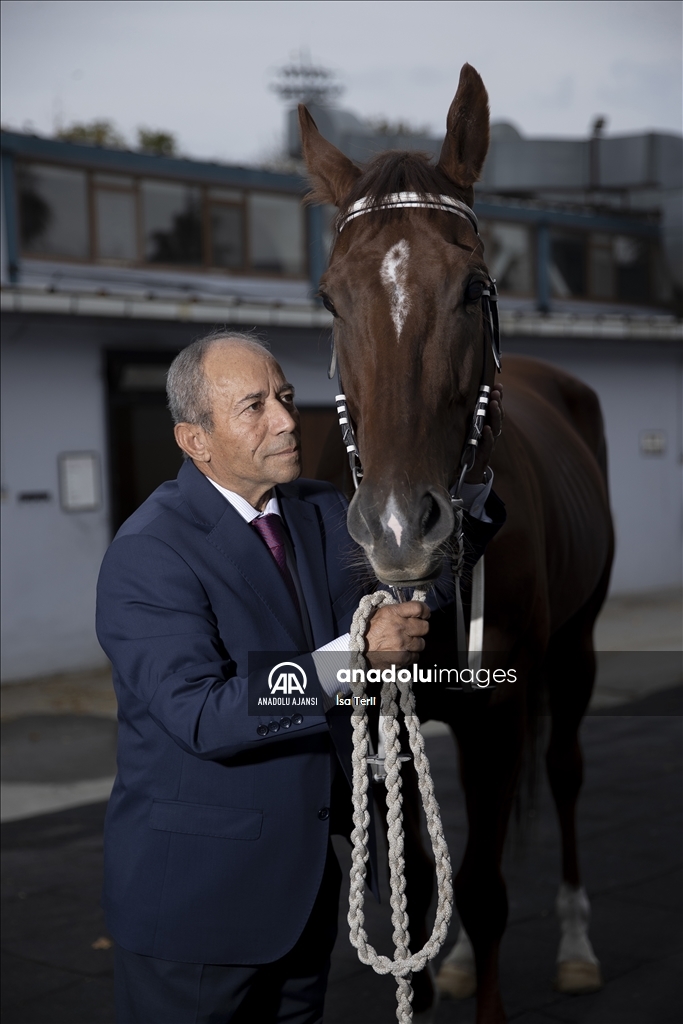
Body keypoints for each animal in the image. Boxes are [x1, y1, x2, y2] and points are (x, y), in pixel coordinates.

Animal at [298, 64, 614, 1024]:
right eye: (329, 297)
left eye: (475, 287)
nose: (399, 525)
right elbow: (416, 886)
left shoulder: (498, 706)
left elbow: (481, 887)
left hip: (575, 652)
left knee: (564, 772)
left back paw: (575, 944)